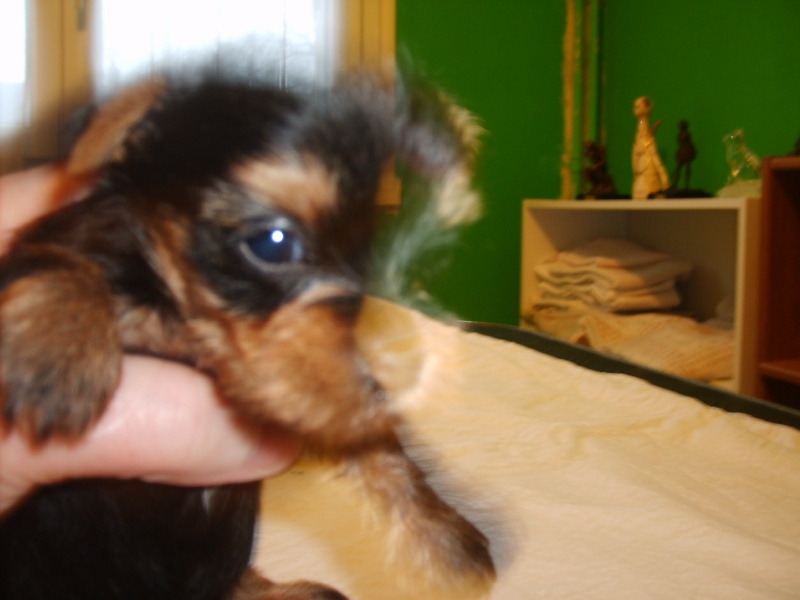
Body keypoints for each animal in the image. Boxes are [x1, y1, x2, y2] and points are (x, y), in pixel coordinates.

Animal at [0, 68, 494, 599]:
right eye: (272, 242)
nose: (389, 384)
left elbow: (371, 439)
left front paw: (447, 536)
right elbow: (64, 262)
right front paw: (55, 353)